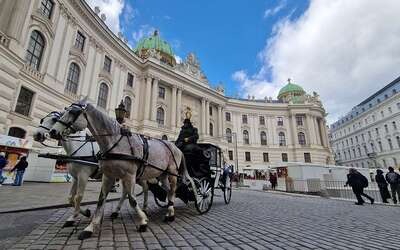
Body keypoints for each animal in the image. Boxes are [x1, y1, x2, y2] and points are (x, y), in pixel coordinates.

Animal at [48, 99, 192, 240]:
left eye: (73, 112)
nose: (52, 132)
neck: (115, 143)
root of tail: (175, 147)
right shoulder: (108, 176)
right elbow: (100, 200)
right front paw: (90, 227)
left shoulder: (127, 175)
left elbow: (132, 200)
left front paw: (143, 221)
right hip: (162, 174)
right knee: (168, 191)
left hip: (171, 173)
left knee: (171, 190)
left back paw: (170, 214)